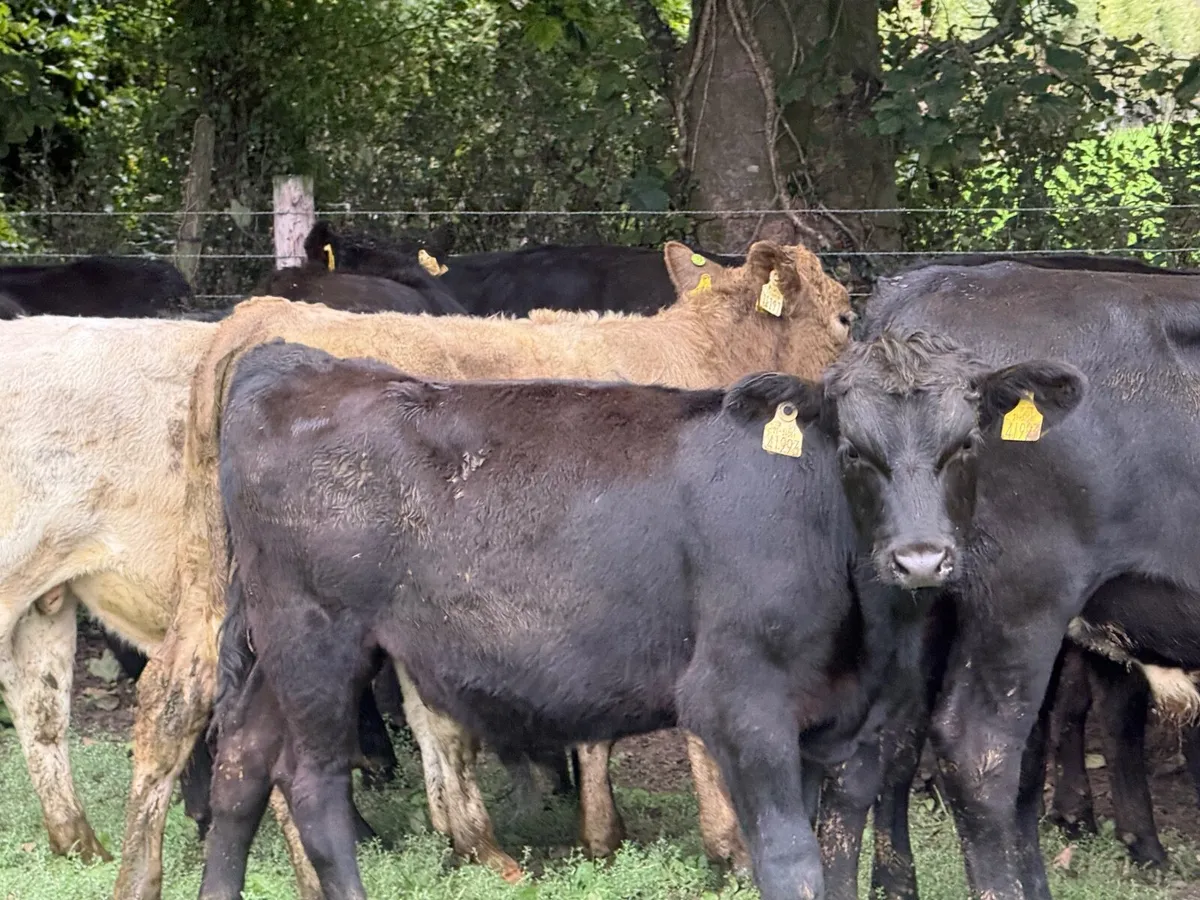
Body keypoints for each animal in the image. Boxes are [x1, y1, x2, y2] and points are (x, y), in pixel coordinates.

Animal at [115, 240, 854, 900]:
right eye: (846, 315)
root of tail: (258, 323)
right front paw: (717, 845)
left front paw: (601, 832)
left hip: (221, 588)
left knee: (180, 703)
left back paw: (139, 875)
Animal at [197, 328, 1083, 900]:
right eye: (853, 451)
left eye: (966, 444)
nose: (921, 558)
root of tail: (299, 363)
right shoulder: (736, 704)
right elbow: (789, 864)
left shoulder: (844, 727)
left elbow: (833, 855)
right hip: (317, 636)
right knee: (311, 788)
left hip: (273, 644)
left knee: (239, 764)